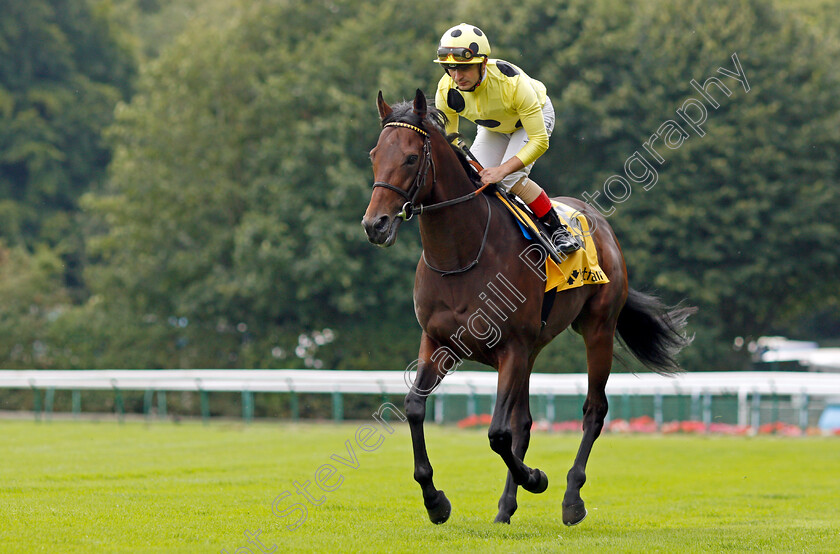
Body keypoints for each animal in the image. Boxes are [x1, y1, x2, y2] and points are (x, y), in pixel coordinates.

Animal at [360, 88, 696, 524]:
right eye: (374, 154)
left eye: (411, 158)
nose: (375, 225)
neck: (462, 255)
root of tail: (600, 223)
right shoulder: (438, 342)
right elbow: (417, 408)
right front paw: (436, 501)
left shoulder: (512, 348)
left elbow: (497, 433)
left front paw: (536, 478)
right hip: (534, 349)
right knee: (524, 422)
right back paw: (505, 508)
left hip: (597, 329)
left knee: (593, 410)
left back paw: (571, 499)